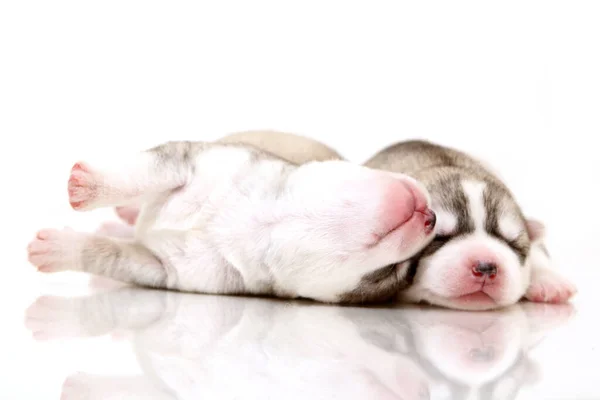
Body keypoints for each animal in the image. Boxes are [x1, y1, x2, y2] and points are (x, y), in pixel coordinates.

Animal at [25, 131, 436, 304]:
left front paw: (59, 249)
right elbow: (143, 171)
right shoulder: (192, 159)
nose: (431, 216)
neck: (269, 219)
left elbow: (111, 255)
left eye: (396, 273)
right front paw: (89, 186)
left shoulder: (162, 269)